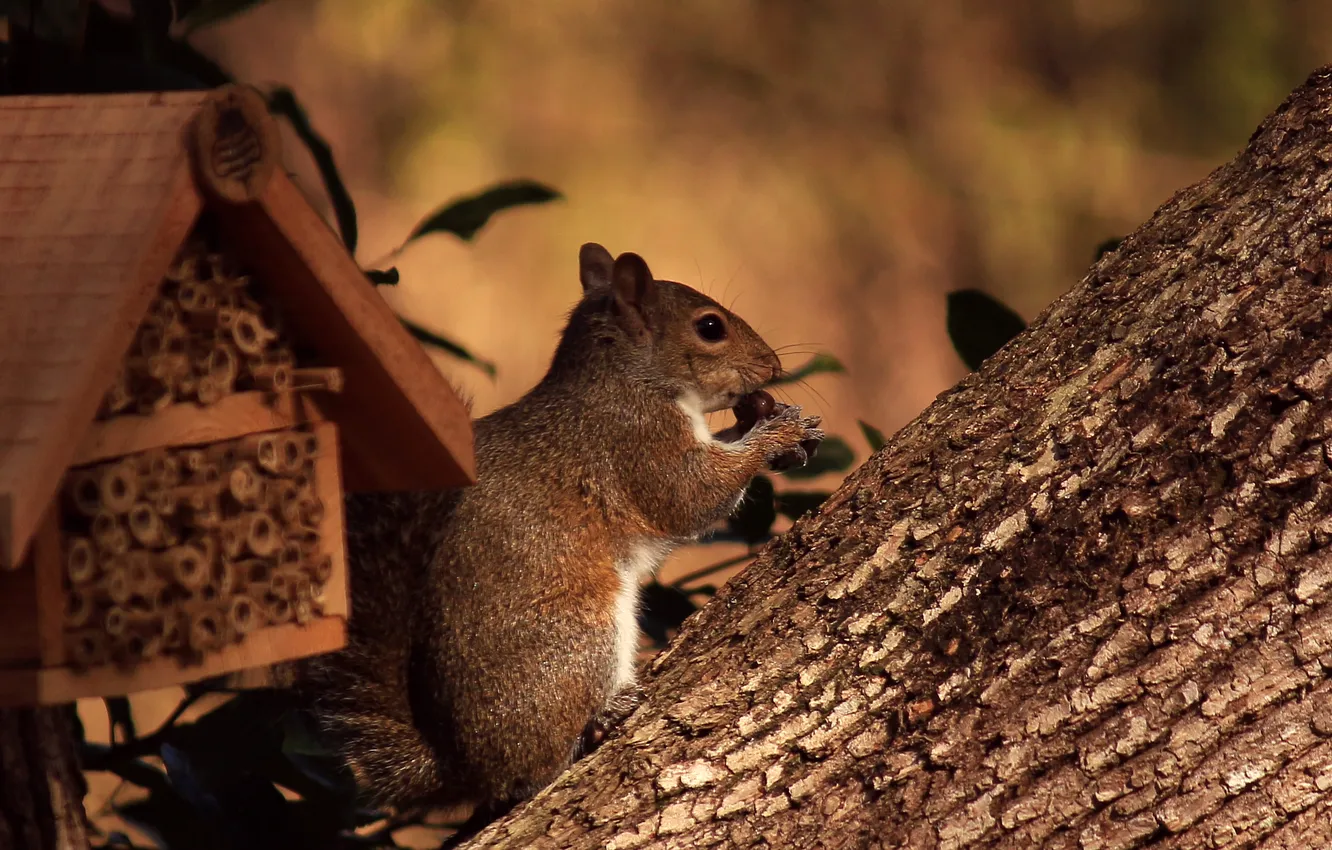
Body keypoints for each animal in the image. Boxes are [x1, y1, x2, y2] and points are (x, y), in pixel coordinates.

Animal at [297, 242, 825, 831]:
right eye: (710, 327)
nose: (773, 367)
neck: (624, 376)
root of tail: (463, 766)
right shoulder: (636, 440)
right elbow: (691, 495)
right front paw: (776, 433)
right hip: (582, 635)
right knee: (537, 770)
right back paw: (600, 718)